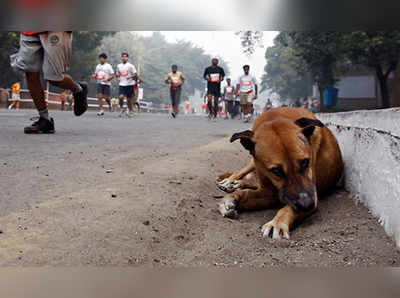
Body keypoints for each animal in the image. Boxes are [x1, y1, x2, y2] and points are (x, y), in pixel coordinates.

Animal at [216, 107, 344, 240]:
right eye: (276, 171)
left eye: (305, 162)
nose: (307, 205)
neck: (275, 117)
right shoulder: (269, 191)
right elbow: (245, 193)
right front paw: (231, 198)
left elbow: (288, 208)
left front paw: (278, 223)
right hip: (253, 163)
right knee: (241, 173)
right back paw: (230, 181)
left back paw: (237, 183)